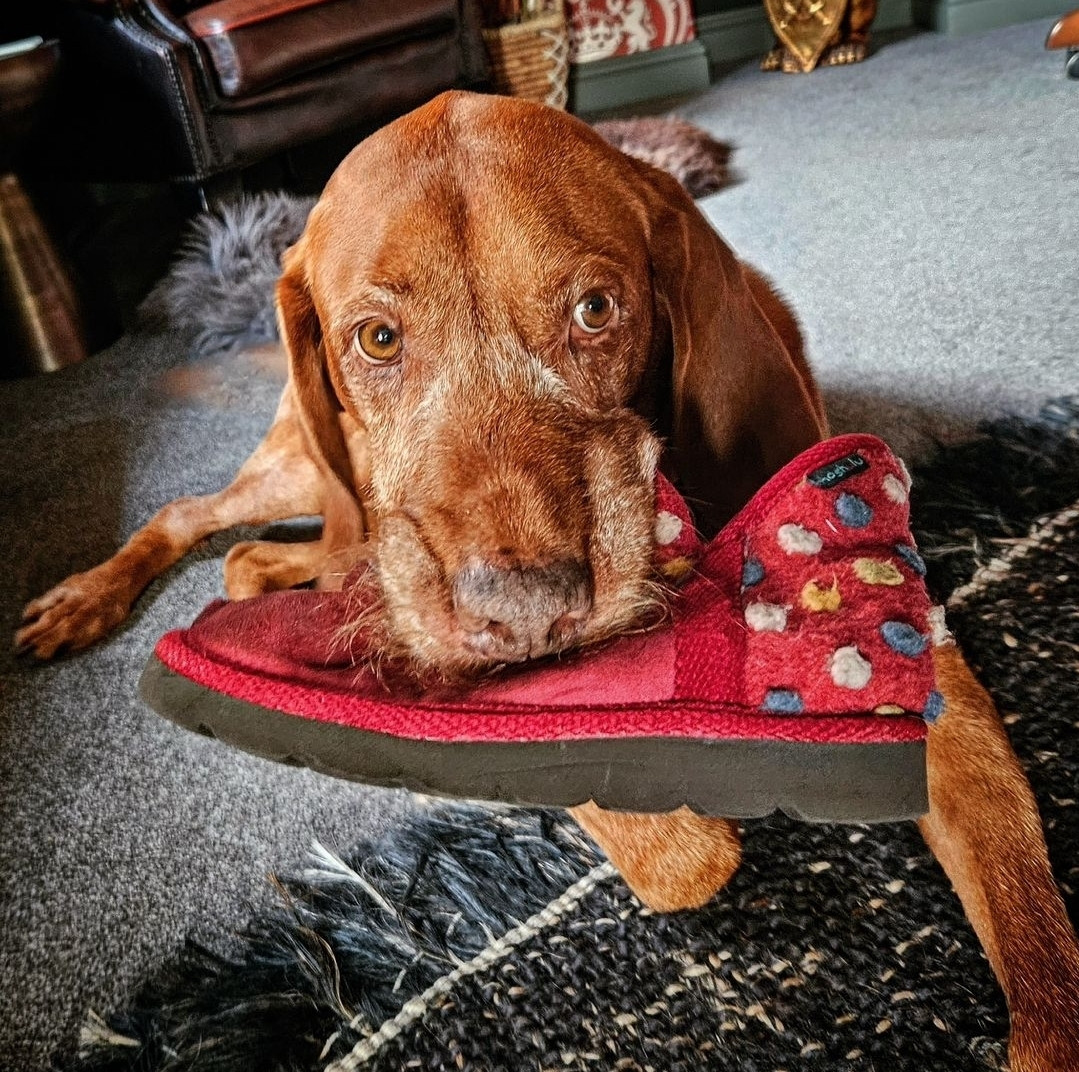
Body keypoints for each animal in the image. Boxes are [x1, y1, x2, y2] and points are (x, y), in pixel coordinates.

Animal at [16, 93, 1079, 1069]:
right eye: (378, 339)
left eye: (595, 309)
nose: (525, 609)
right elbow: (657, 833)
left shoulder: (924, 668)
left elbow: (1035, 946)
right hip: (299, 460)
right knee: (193, 515)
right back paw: (90, 600)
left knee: (274, 549)